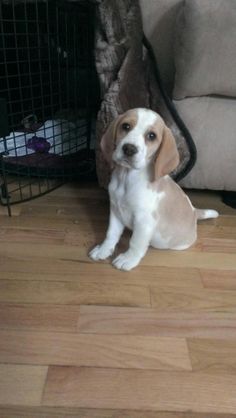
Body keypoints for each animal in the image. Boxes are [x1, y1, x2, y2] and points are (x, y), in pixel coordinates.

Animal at [89, 108, 218, 272]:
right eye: (126, 126)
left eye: (151, 136)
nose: (129, 148)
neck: (127, 178)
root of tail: (195, 211)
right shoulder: (116, 211)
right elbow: (111, 233)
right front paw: (104, 249)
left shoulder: (144, 221)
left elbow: (135, 242)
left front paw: (128, 259)